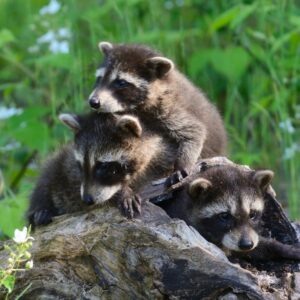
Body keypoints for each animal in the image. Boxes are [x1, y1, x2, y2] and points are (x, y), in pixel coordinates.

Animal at [27, 113, 176, 227]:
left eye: (104, 167)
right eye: (81, 165)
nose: (87, 199)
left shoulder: (163, 158)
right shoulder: (72, 171)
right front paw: (123, 192)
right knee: (46, 179)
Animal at [88, 42, 226, 183]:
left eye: (121, 83)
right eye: (99, 78)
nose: (93, 102)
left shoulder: (170, 109)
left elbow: (194, 132)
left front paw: (182, 165)